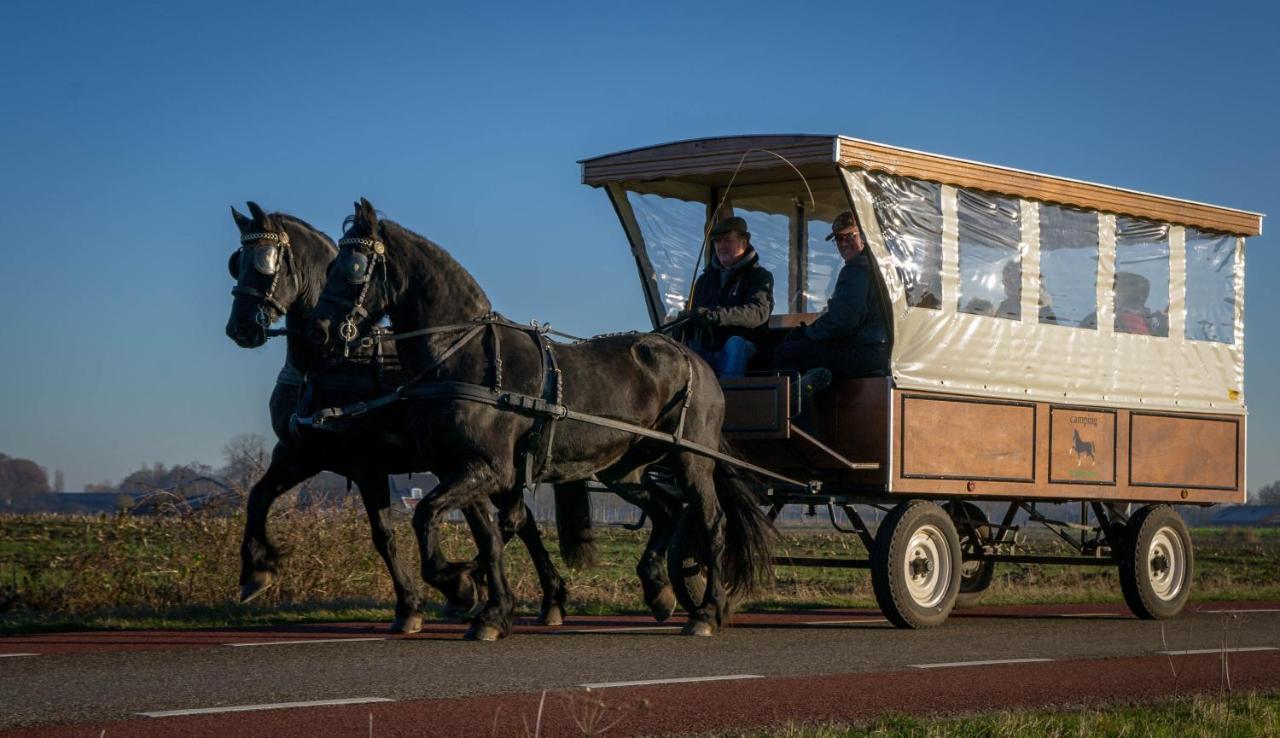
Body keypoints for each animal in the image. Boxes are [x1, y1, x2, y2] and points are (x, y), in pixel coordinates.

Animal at [227, 204, 591, 629]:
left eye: (266, 262)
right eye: (237, 263)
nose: (240, 328)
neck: (326, 365)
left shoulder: (366, 463)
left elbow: (383, 534)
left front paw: (421, 601)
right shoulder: (301, 454)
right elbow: (258, 496)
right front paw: (257, 570)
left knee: (512, 521)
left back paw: (490, 588)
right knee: (520, 520)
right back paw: (543, 596)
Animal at [308, 198, 768, 636]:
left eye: (353, 266)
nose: (320, 331)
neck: (463, 355)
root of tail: (693, 357)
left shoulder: (488, 469)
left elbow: (430, 515)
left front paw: (461, 587)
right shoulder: (465, 470)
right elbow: (488, 536)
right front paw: (488, 607)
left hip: (692, 460)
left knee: (711, 522)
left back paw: (707, 611)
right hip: (625, 468)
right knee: (668, 511)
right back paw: (658, 589)